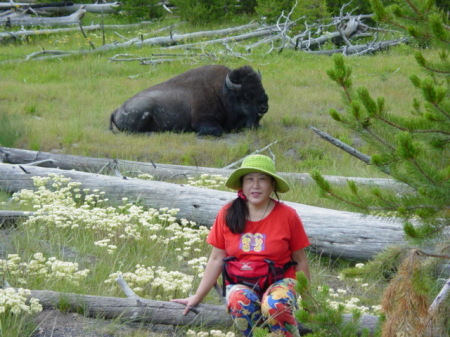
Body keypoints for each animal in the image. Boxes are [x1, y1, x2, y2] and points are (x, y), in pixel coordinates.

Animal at [109, 64, 268, 135]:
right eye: (247, 95)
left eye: (261, 87)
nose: (264, 106)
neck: (222, 92)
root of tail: (116, 110)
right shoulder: (202, 120)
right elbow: (217, 130)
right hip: (144, 109)